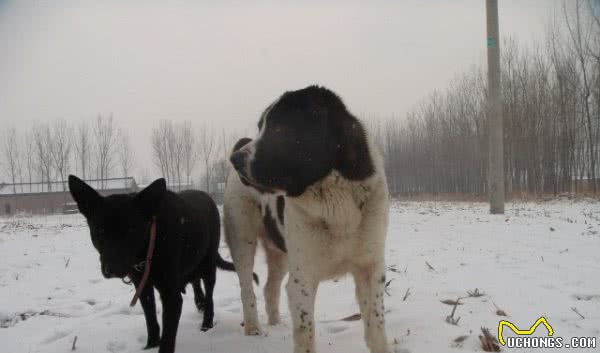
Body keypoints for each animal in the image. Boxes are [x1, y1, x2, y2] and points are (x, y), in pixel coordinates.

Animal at [69, 175, 256, 352]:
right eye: (99, 231)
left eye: (132, 231)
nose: (112, 269)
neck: (150, 246)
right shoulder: (143, 287)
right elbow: (151, 319)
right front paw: (150, 345)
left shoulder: (171, 296)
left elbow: (168, 335)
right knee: (195, 281)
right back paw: (200, 303)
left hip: (208, 265)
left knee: (209, 294)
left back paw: (206, 322)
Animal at [225, 86, 390, 352]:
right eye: (261, 126)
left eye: (278, 128)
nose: (236, 159)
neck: (335, 204)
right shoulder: (302, 278)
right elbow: (305, 331)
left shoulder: (370, 268)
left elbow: (376, 325)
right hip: (242, 239)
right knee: (247, 287)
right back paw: (253, 329)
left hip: (281, 253)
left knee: (270, 288)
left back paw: (276, 324)